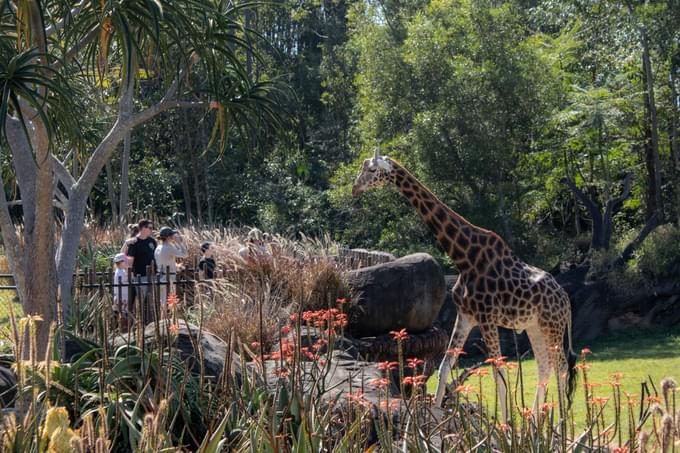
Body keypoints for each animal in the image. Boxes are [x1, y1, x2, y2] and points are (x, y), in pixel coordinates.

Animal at [350, 150, 580, 418]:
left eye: (372, 170)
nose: (355, 188)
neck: (463, 257)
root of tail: (566, 301)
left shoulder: (486, 318)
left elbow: (499, 372)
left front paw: (506, 424)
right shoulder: (466, 316)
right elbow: (445, 366)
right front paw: (437, 414)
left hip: (552, 326)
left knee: (561, 366)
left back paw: (560, 423)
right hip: (534, 326)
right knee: (545, 365)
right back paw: (535, 421)